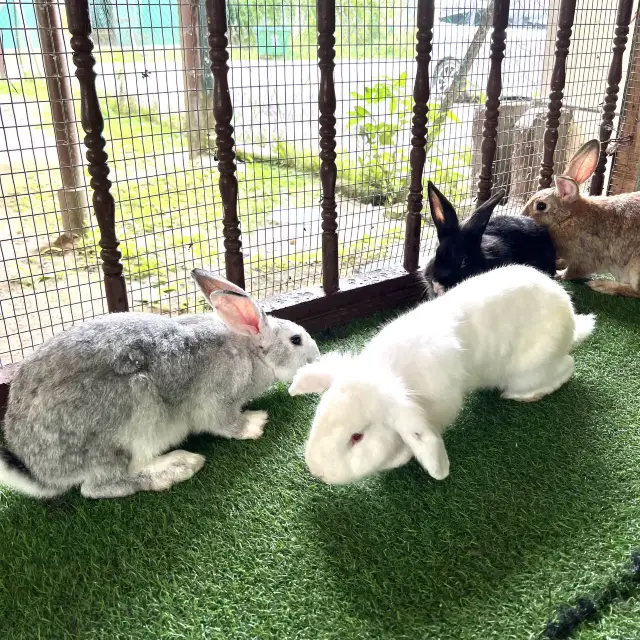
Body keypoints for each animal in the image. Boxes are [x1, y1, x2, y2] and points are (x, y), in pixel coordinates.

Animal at [0, 270, 320, 500]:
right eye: (296, 340)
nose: (317, 359)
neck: (251, 352)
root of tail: (39, 470)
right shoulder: (217, 400)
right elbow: (225, 423)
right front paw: (256, 423)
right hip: (128, 424)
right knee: (100, 486)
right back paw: (180, 466)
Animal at [290, 264, 596, 484]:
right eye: (321, 413)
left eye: (357, 437)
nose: (317, 470)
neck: (393, 375)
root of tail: (570, 318)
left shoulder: (437, 411)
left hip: (529, 370)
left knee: (566, 367)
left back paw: (524, 396)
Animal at [520, 139, 640, 298]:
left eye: (541, 206)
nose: (522, 217)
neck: (568, 218)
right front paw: (558, 264)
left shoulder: (584, 258)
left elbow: (573, 272)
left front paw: (559, 275)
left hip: (636, 268)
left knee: (635, 291)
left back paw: (602, 285)